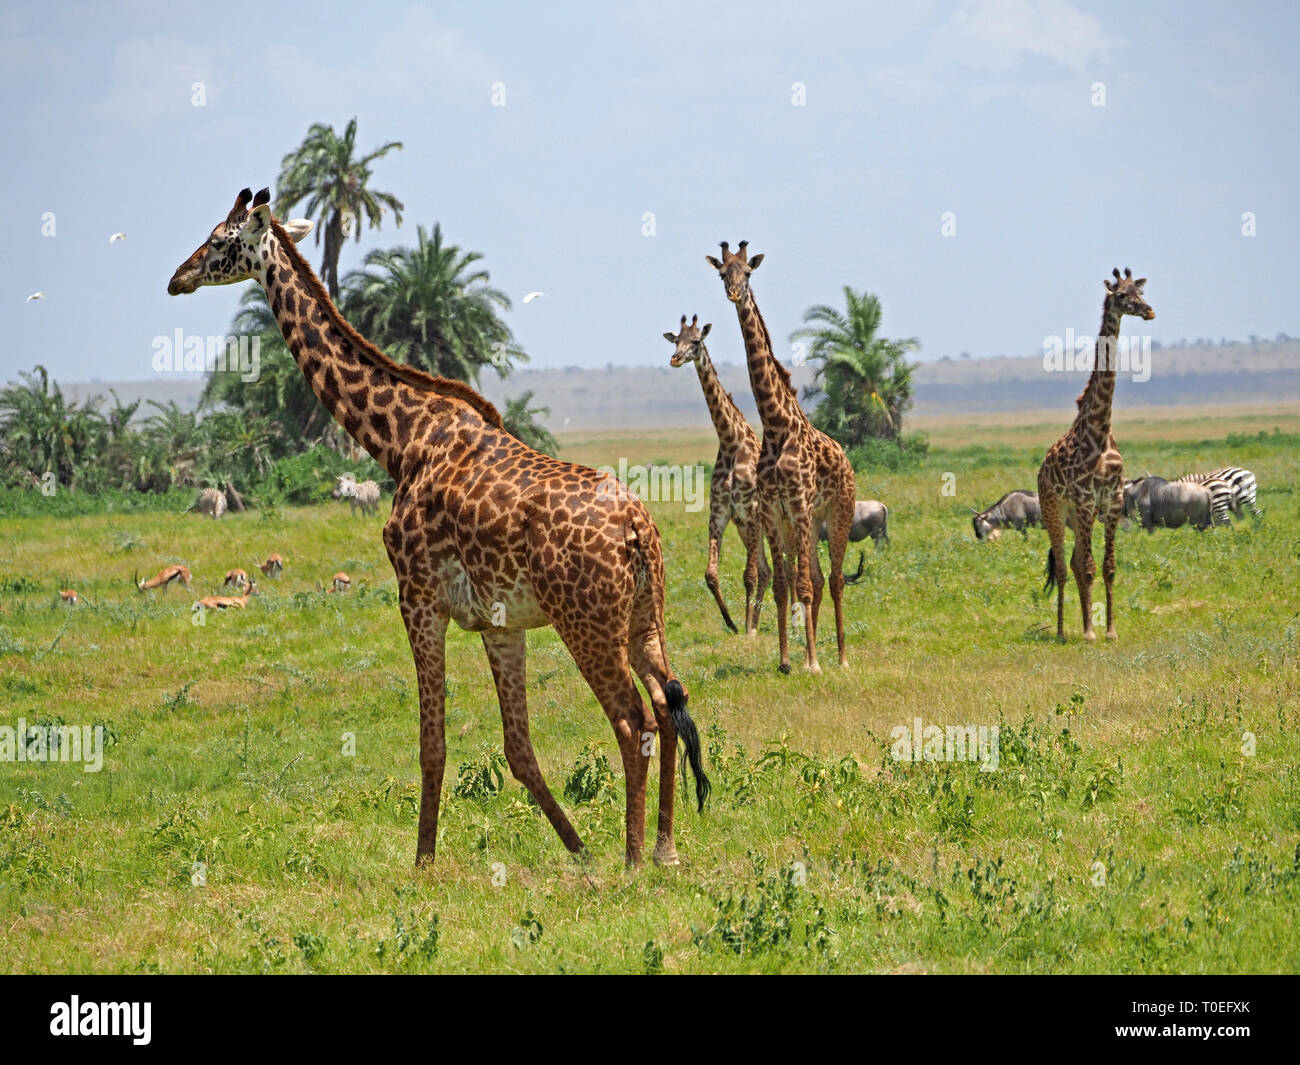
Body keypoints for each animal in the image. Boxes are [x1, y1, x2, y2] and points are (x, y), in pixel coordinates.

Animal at [168, 188, 708, 867]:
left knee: (633, 719)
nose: (176, 278)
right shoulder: (501, 623)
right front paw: (578, 849)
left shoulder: (418, 597)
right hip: (644, 616)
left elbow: (433, 745)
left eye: (219, 241)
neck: (399, 441)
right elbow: (518, 749)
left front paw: (423, 863)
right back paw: (664, 848)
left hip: (586, 622)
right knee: (668, 705)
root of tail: (637, 528)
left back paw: (633, 859)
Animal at [664, 314, 771, 636]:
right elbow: (711, 573)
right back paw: (756, 622)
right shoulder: (721, 513)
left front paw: (746, 628)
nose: (675, 359)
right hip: (746, 527)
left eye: (697, 341)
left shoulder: (751, 512)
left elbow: (748, 575)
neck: (731, 442)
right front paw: (735, 624)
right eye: (676, 340)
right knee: (768, 570)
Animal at [705, 242, 856, 674]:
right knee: (817, 579)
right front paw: (788, 660)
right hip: (804, 522)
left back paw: (840, 657)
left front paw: (812, 664)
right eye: (722, 272)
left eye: (747, 273)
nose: (734, 293)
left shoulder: (799, 504)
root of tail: (846, 459)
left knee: (835, 579)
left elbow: (800, 584)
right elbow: (782, 584)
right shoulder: (774, 509)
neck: (775, 426)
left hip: (836, 511)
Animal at [1038, 267, 1154, 642]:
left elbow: (1108, 567)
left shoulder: (1112, 502)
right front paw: (1090, 632)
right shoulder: (1086, 501)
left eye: (1140, 292)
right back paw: (1063, 631)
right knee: (1064, 567)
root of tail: (1040, 470)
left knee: (1074, 563)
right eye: (1121, 295)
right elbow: (1089, 567)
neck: (1101, 432)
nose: (1149, 311)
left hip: (1077, 518)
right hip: (1055, 511)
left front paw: (1110, 630)